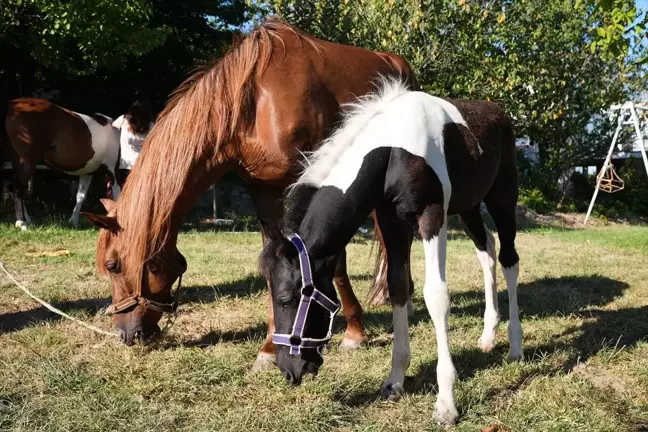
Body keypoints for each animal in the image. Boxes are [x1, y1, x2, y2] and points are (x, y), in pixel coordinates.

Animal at [4, 97, 120, 230]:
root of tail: (14, 105)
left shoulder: (88, 172)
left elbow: (80, 196)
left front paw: (74, 221)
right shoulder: (113, 171)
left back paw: (26, 220)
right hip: (27, 161)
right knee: (17, 188)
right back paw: (23, 223)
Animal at [81, 20, 418, 370]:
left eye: (113, 265)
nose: (126, 334)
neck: (252, 103)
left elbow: (331, 260)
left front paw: (353, 330)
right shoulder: (263, 192)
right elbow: (274, 262)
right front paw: (269, 348)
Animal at [260, 79, 524, 426]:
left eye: (287, 299)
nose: (289, 370)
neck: (395, 148)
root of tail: (499, 113)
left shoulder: (431, 217)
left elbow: (436, 296)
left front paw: (446, 404)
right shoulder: (391, 222)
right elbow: (398, 288)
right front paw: (395, 380)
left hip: (502, 199)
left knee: (509, 260)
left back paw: (516, 345)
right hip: (467, 209)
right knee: (487, 252)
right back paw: (488, 337)